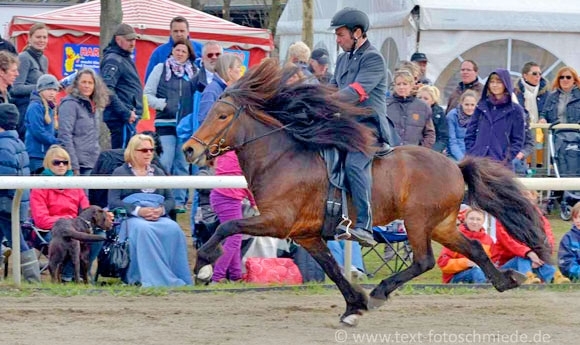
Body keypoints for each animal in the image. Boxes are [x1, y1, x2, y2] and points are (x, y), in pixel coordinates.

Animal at [184, 59, 552, 326]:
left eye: (222, 115)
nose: (189, 150)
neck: (282, 158)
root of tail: (455, 166)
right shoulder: (305, 234)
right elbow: (333, 269)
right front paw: (353, 305)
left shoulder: (278, 221)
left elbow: (227, 225)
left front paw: (203, 265)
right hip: (442, 225)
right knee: (473, 247)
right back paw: (505, 280)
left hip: (417, 221)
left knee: (423, 261)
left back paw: (381, 291)